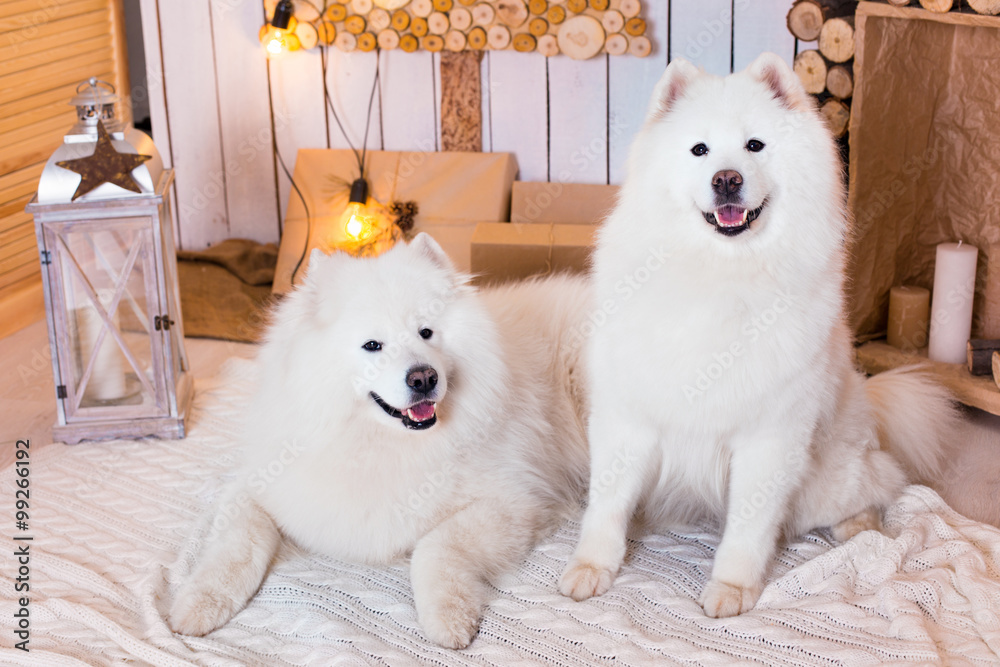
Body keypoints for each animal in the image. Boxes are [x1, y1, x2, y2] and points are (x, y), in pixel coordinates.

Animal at [170, 235, 592, 648]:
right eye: (373, 345)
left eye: (426, 332)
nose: (423, 377)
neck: (379, 443)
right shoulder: (261, 485)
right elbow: (237, 545)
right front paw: (199, 604)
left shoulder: (515, 502)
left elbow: (435, 546)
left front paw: (448, 617)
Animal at [560, 53, 956, 620]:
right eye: (699, 150)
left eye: (755, 146)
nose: (727, 180)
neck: (722, 273)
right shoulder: (627, 416)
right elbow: (607, 505)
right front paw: (592, 568)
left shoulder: (770, 435)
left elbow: (748, 524)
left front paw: (731, 588)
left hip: (828, 479)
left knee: (874, 487)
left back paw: (860, 527)